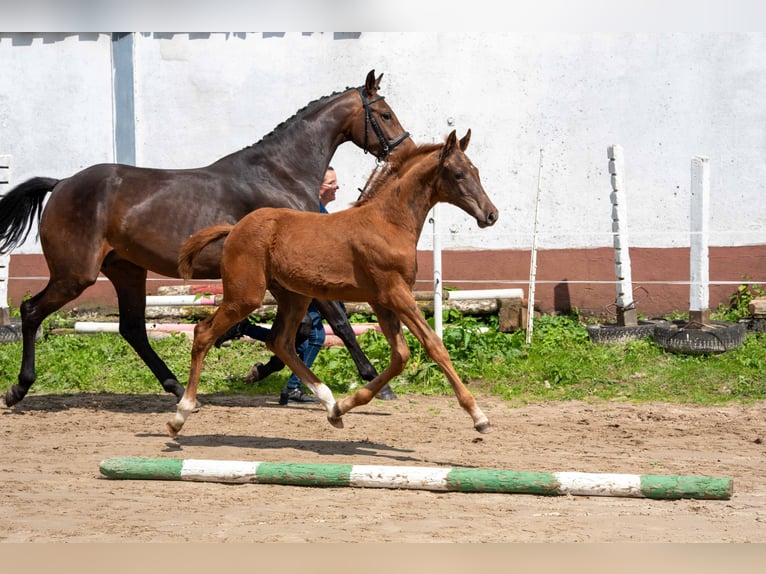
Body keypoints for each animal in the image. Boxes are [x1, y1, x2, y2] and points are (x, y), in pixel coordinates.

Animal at [0, 68, 414, 410]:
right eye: (385, 114)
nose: (405, 151)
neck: (280, 173)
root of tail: (62, 183)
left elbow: (296, 332)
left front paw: (258, 369)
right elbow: (337, 323)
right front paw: (377, 382)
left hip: (126, 270)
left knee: (132, 329)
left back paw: (176, 388)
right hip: (75, 275)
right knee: (31, 311)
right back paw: (19, 388)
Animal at [171, 130, 500, 436]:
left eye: (476, 171)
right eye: (458, 174)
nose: (491, 214)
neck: (389, 222)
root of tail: (234, 228)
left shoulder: (382, 300)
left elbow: (400, 356)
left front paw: (345, 405)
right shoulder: (395, 293)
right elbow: (433, 344)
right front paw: (478, 416)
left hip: (294, 297)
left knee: (280, 341)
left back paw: (331, 404)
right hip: (246, 294)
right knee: (204, 333)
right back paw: (180, 414)